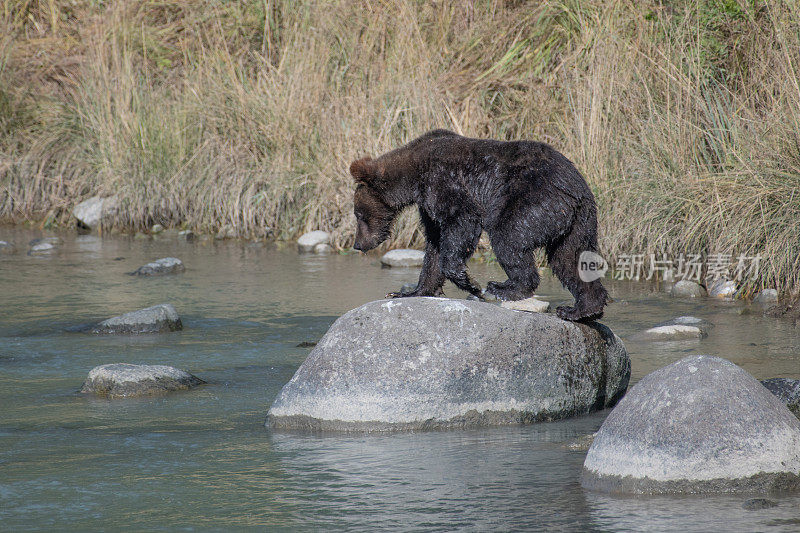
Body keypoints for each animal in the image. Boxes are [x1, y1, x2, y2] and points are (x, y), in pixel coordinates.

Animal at [348, 129, 608, 320]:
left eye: (358, 214)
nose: (358, 244)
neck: (414, 177)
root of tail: (575, 186)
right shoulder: (427, 204)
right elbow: (434, 244)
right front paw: (410, 292)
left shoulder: (444, 181)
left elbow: (461, 222)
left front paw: (471, 283)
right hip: (578, 222)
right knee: (570, 259)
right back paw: (581, 310)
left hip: (534, 199)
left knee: (508, 237)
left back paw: (503, 287)